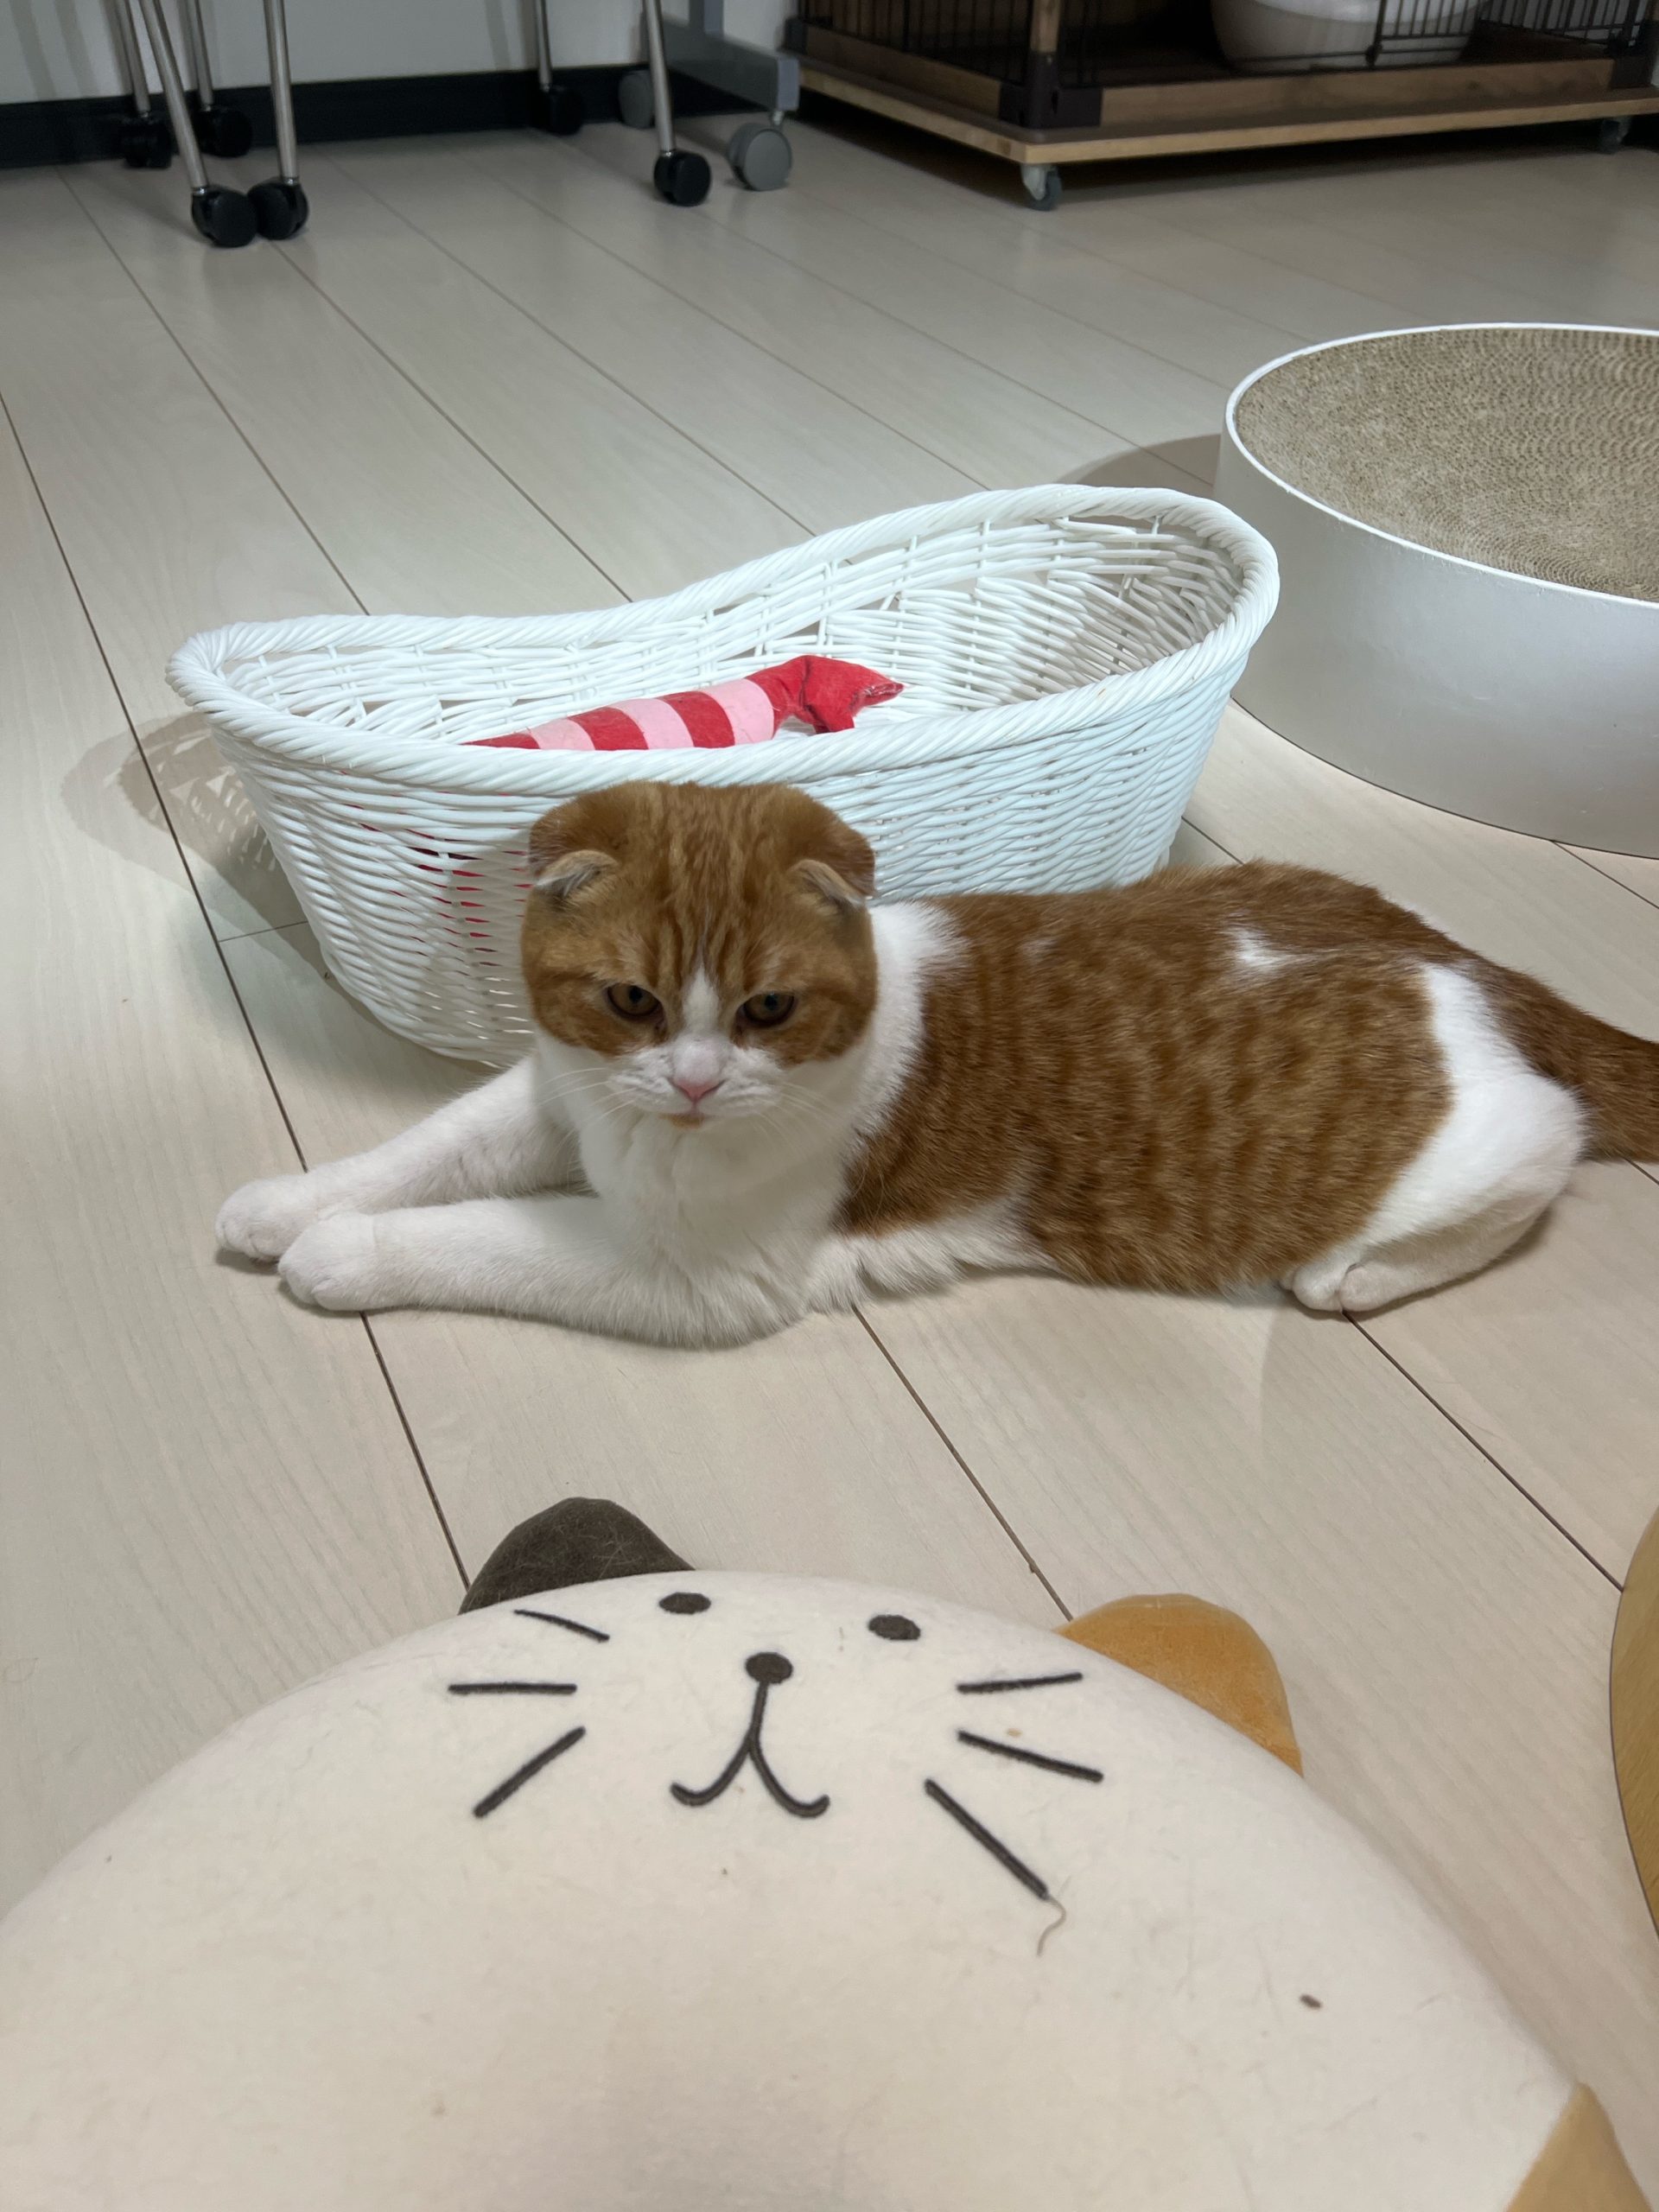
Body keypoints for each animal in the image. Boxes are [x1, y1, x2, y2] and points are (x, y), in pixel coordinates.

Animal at [218, 781, 1659, 1346]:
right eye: (632, 1001)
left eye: (768, 1009)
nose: (693, 1084)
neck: (638, 1138)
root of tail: (1470, 962)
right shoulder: (554, 1094)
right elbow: (423, 1151)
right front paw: (287, 1202)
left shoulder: (692, 1275)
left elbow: (481, 1238)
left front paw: (337, 1256)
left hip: (1465, 1156)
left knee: (1545, 1151)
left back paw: (1359, 1273)